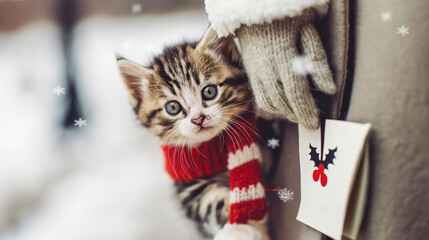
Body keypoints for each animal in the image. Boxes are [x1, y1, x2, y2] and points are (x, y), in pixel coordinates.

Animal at [115, 28, 266, 238]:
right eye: (173, 107)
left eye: (209, 92)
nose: (198, 119)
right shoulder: (186, 186)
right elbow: (211, 204)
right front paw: (240, 226)